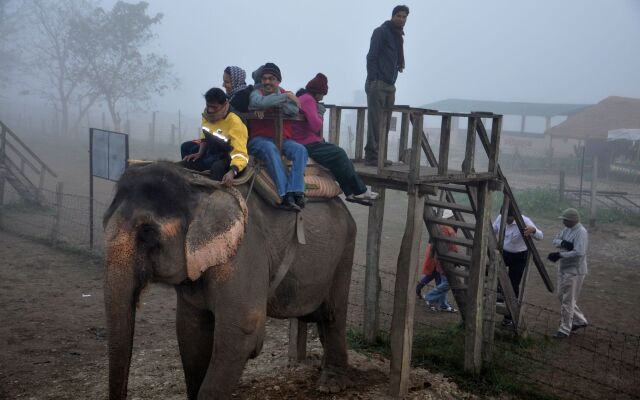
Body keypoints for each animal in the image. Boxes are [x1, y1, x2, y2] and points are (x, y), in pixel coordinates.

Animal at [102, 161, 358, 398]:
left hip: (344, 251)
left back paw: (330, 384)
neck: (198, 187)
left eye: (147, 234)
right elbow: (190, 330)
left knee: (332, 314)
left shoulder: (245, 249)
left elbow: (243, 330)